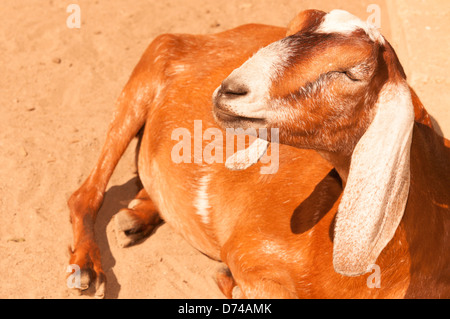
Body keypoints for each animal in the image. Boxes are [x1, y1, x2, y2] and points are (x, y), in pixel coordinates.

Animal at [67, 8, 450, 298]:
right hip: (149, 67)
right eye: (290, 30)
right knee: (84, 195)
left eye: (349, 72)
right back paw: (86, 268)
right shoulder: (247, 251)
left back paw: (137, 216)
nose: (229, 89)